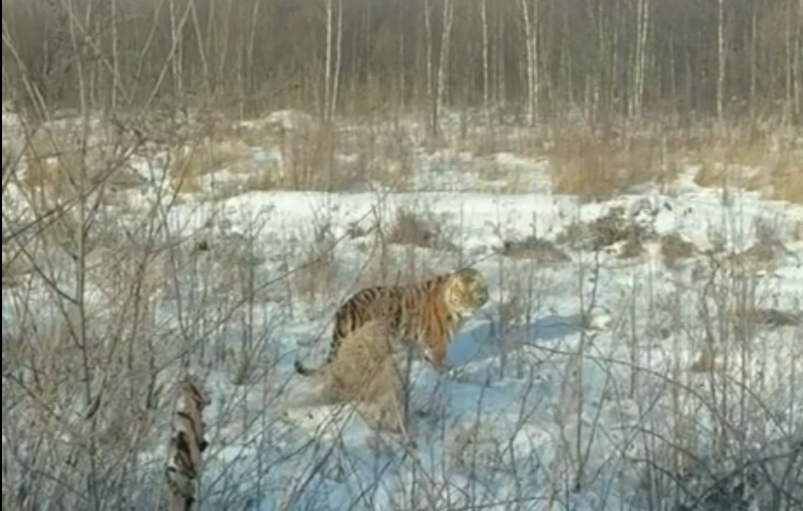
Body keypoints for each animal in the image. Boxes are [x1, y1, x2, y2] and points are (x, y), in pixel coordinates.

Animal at [294, 267, 489, 377]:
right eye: (460, 293)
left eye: (473, 293)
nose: (467, 305)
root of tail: (345, 308)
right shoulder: (437, 344)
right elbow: (438, 363)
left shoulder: (413, 341)